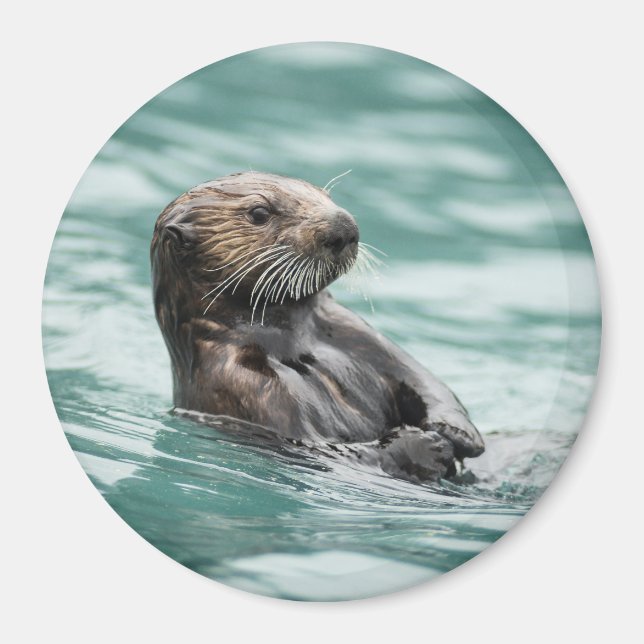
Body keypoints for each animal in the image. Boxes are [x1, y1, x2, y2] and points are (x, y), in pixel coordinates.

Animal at [150, 172, 484, 482]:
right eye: (259, 212)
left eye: (325, 196)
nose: (343, 225)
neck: (292, 341)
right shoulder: (243, 384)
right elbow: (324, 450)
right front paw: (427, 445)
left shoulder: (355, 332)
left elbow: (422, 379)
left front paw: (456, 431)